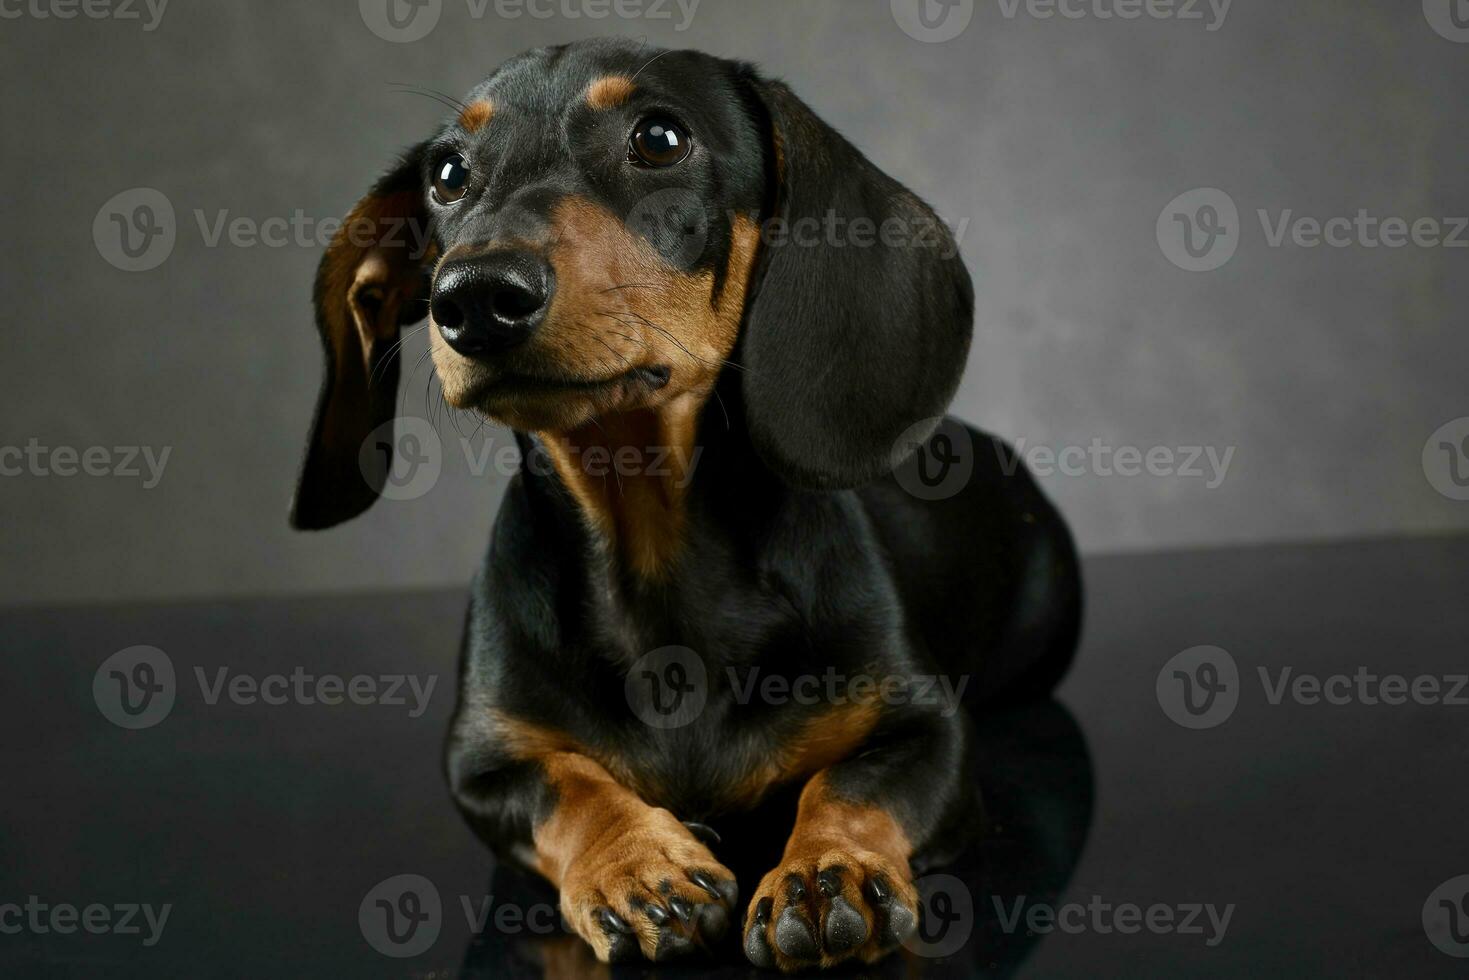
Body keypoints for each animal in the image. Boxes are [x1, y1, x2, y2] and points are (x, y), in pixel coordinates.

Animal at [292, 38, 1087, 975]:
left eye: (660, 138)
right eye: (447, 173)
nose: (475, 297)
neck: (650, 540)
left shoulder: (927, 731)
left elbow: (852, 785)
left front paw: (828, 871)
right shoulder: (482, 762)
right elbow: (567, 787)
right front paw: (639, 866)